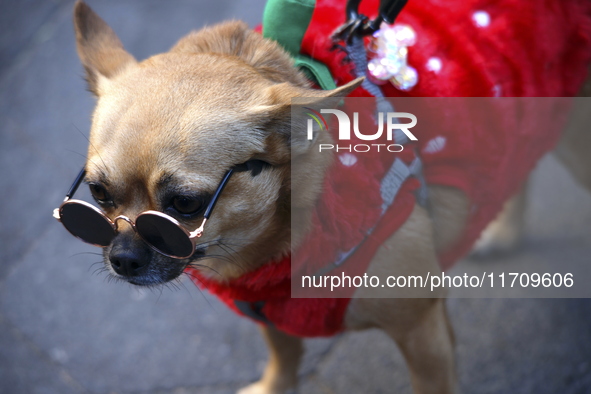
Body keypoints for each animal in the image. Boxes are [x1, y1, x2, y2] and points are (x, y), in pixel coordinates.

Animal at [63, 0, 591, 394]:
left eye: (187, 204)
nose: (123, 257)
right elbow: (283, 355)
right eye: (97, 193)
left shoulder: (423, 333)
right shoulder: (271, 313)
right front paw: (274, 386)